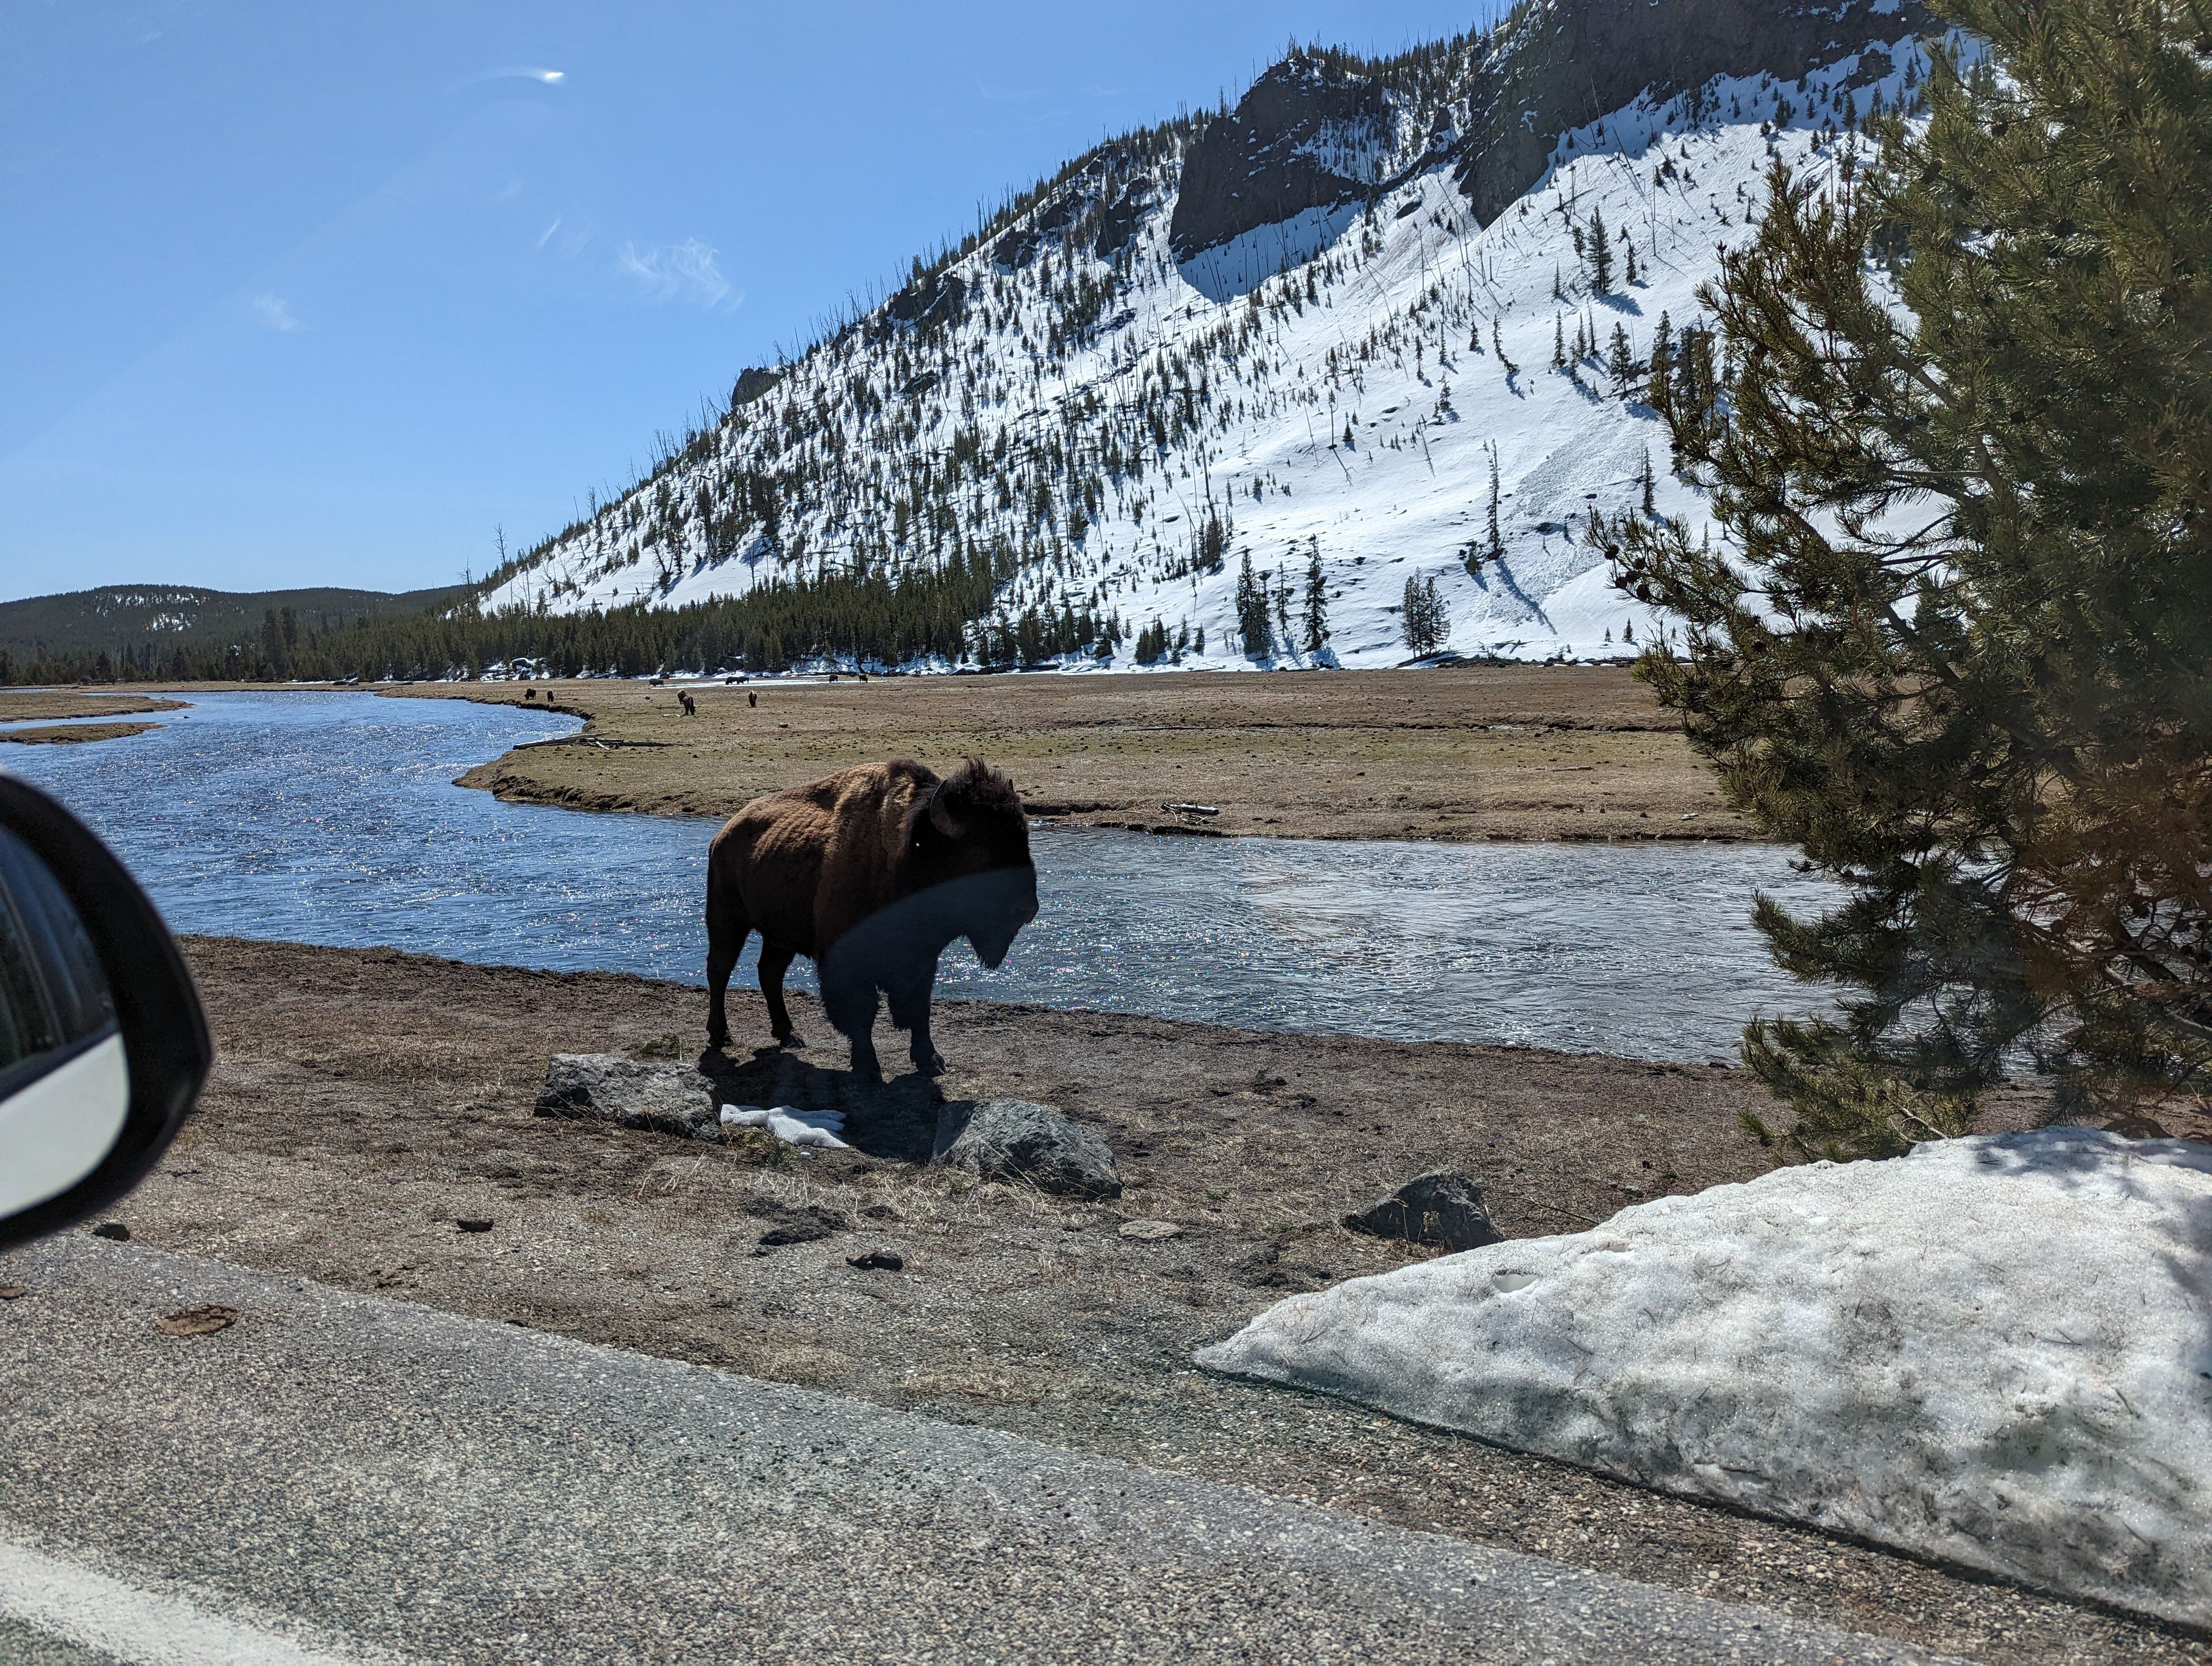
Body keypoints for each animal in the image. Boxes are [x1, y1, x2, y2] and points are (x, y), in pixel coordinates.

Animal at [704, 759, 1038, 1079]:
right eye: (981, 851)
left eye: (1025, 839)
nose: (1028, 909)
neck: (909, 855)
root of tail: (723, 835)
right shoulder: (848, 962)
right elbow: (862, 1011)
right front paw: (868, 1066)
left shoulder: (922, 958)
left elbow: (919, 1009)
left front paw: (931, 1061)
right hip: (727, 922)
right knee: (720, 971)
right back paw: (721, 1035)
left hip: (780, 937)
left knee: (769, 973)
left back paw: (790, 1036)